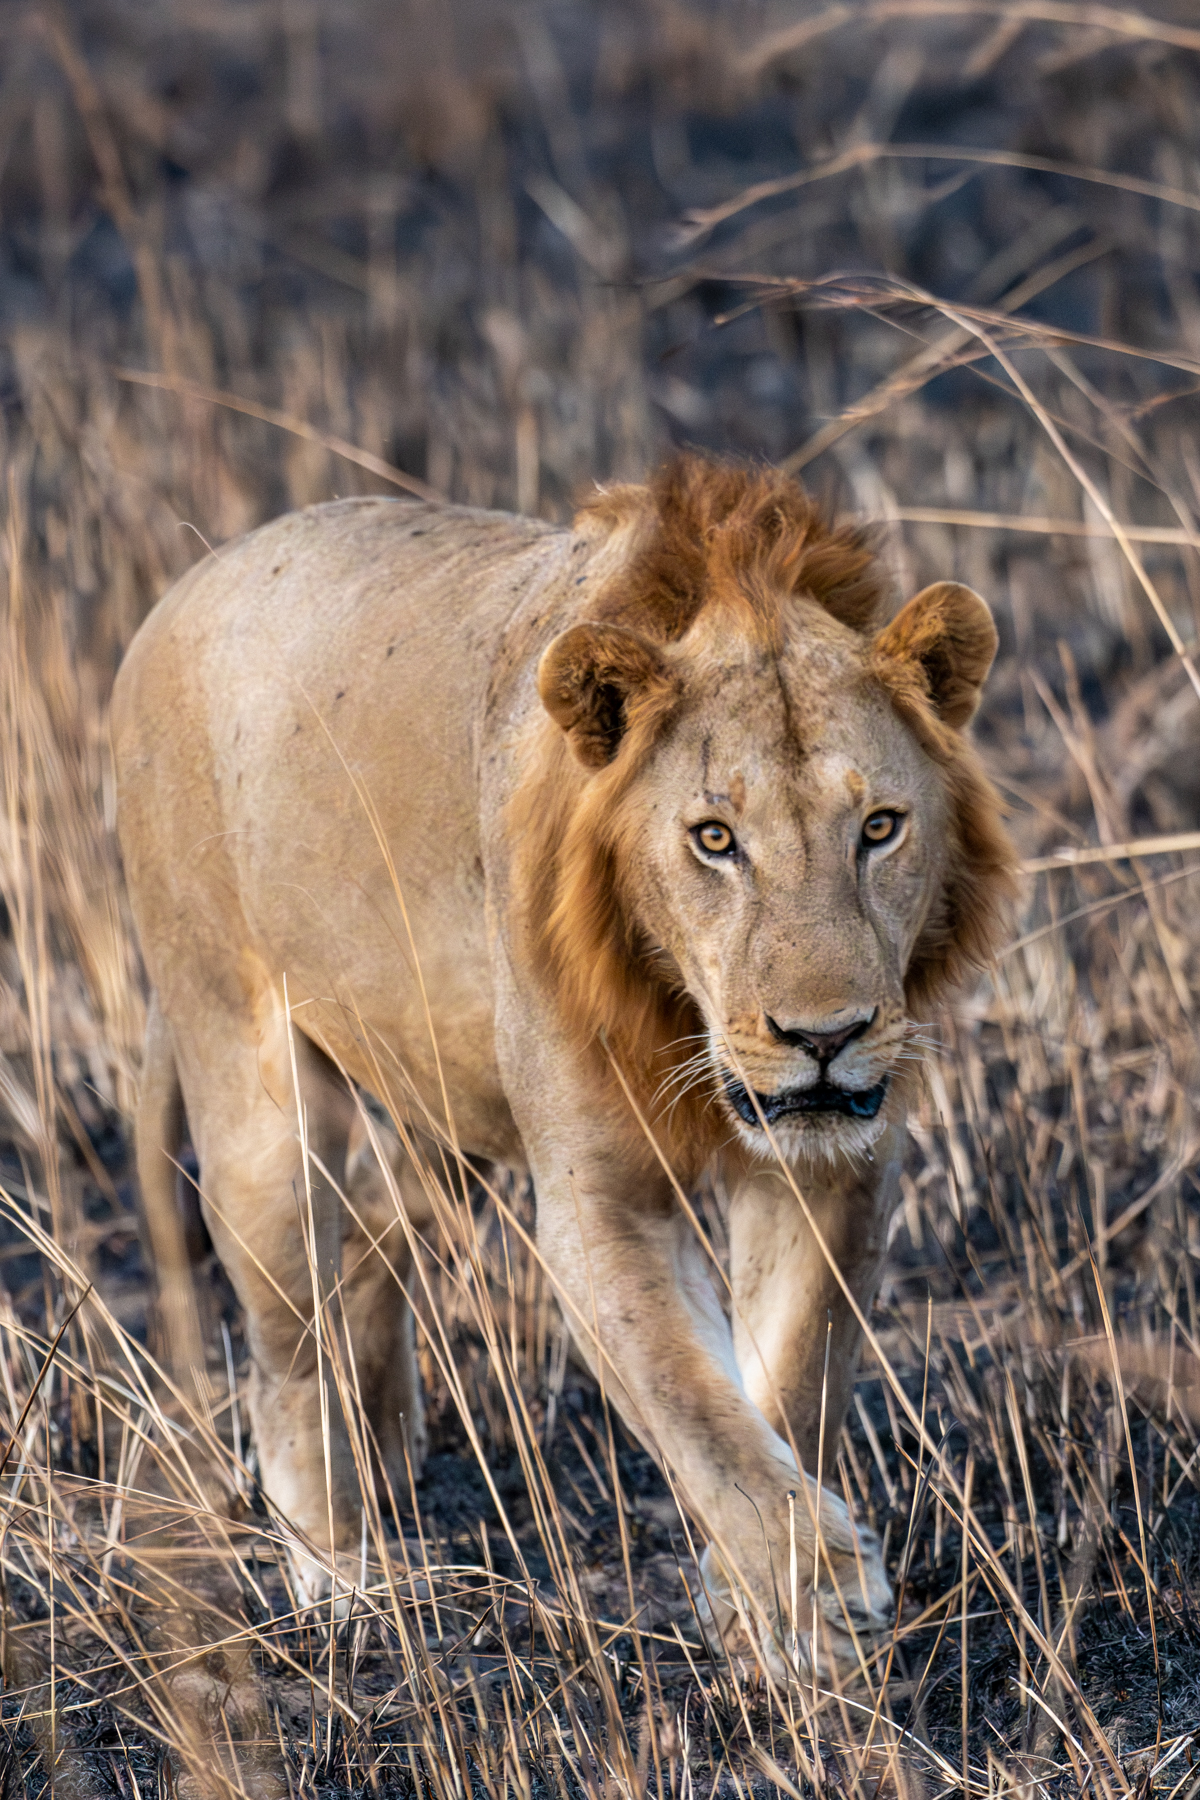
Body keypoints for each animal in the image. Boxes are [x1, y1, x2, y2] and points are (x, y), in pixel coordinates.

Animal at [112, 455, 1016, 1677]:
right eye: (714, 840)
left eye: (879, 827)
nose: (823, 1038)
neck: (683, 1014)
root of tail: (181, 588)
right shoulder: (596, 1198)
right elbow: (693, 1404)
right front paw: (815, 1598)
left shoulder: (837, 1169)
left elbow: (790, 1380)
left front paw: (754, 1606)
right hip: (246, 1074)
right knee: (285, 1345)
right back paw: (341, 1576)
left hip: (440, 1101)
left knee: (377, 1238)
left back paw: (386, 1449)